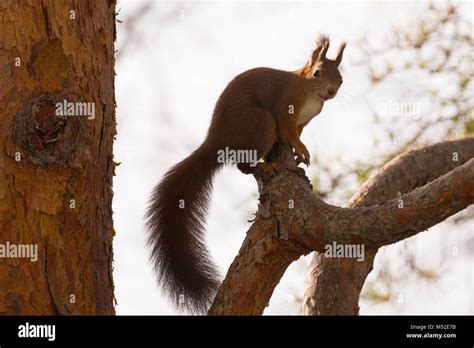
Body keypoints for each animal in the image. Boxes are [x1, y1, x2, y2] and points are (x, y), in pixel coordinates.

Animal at [144, 35, 344, 312]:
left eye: (341, 79)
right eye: (317, 73)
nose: (331, 91)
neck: (309, 92)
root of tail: (216, 141)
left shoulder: (305, 120)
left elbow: (296, 133)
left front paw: (296, 153)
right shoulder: (285, 106)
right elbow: (288, 130)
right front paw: (302, 151)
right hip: (259, 122)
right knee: (243, 163)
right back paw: (265, 165)